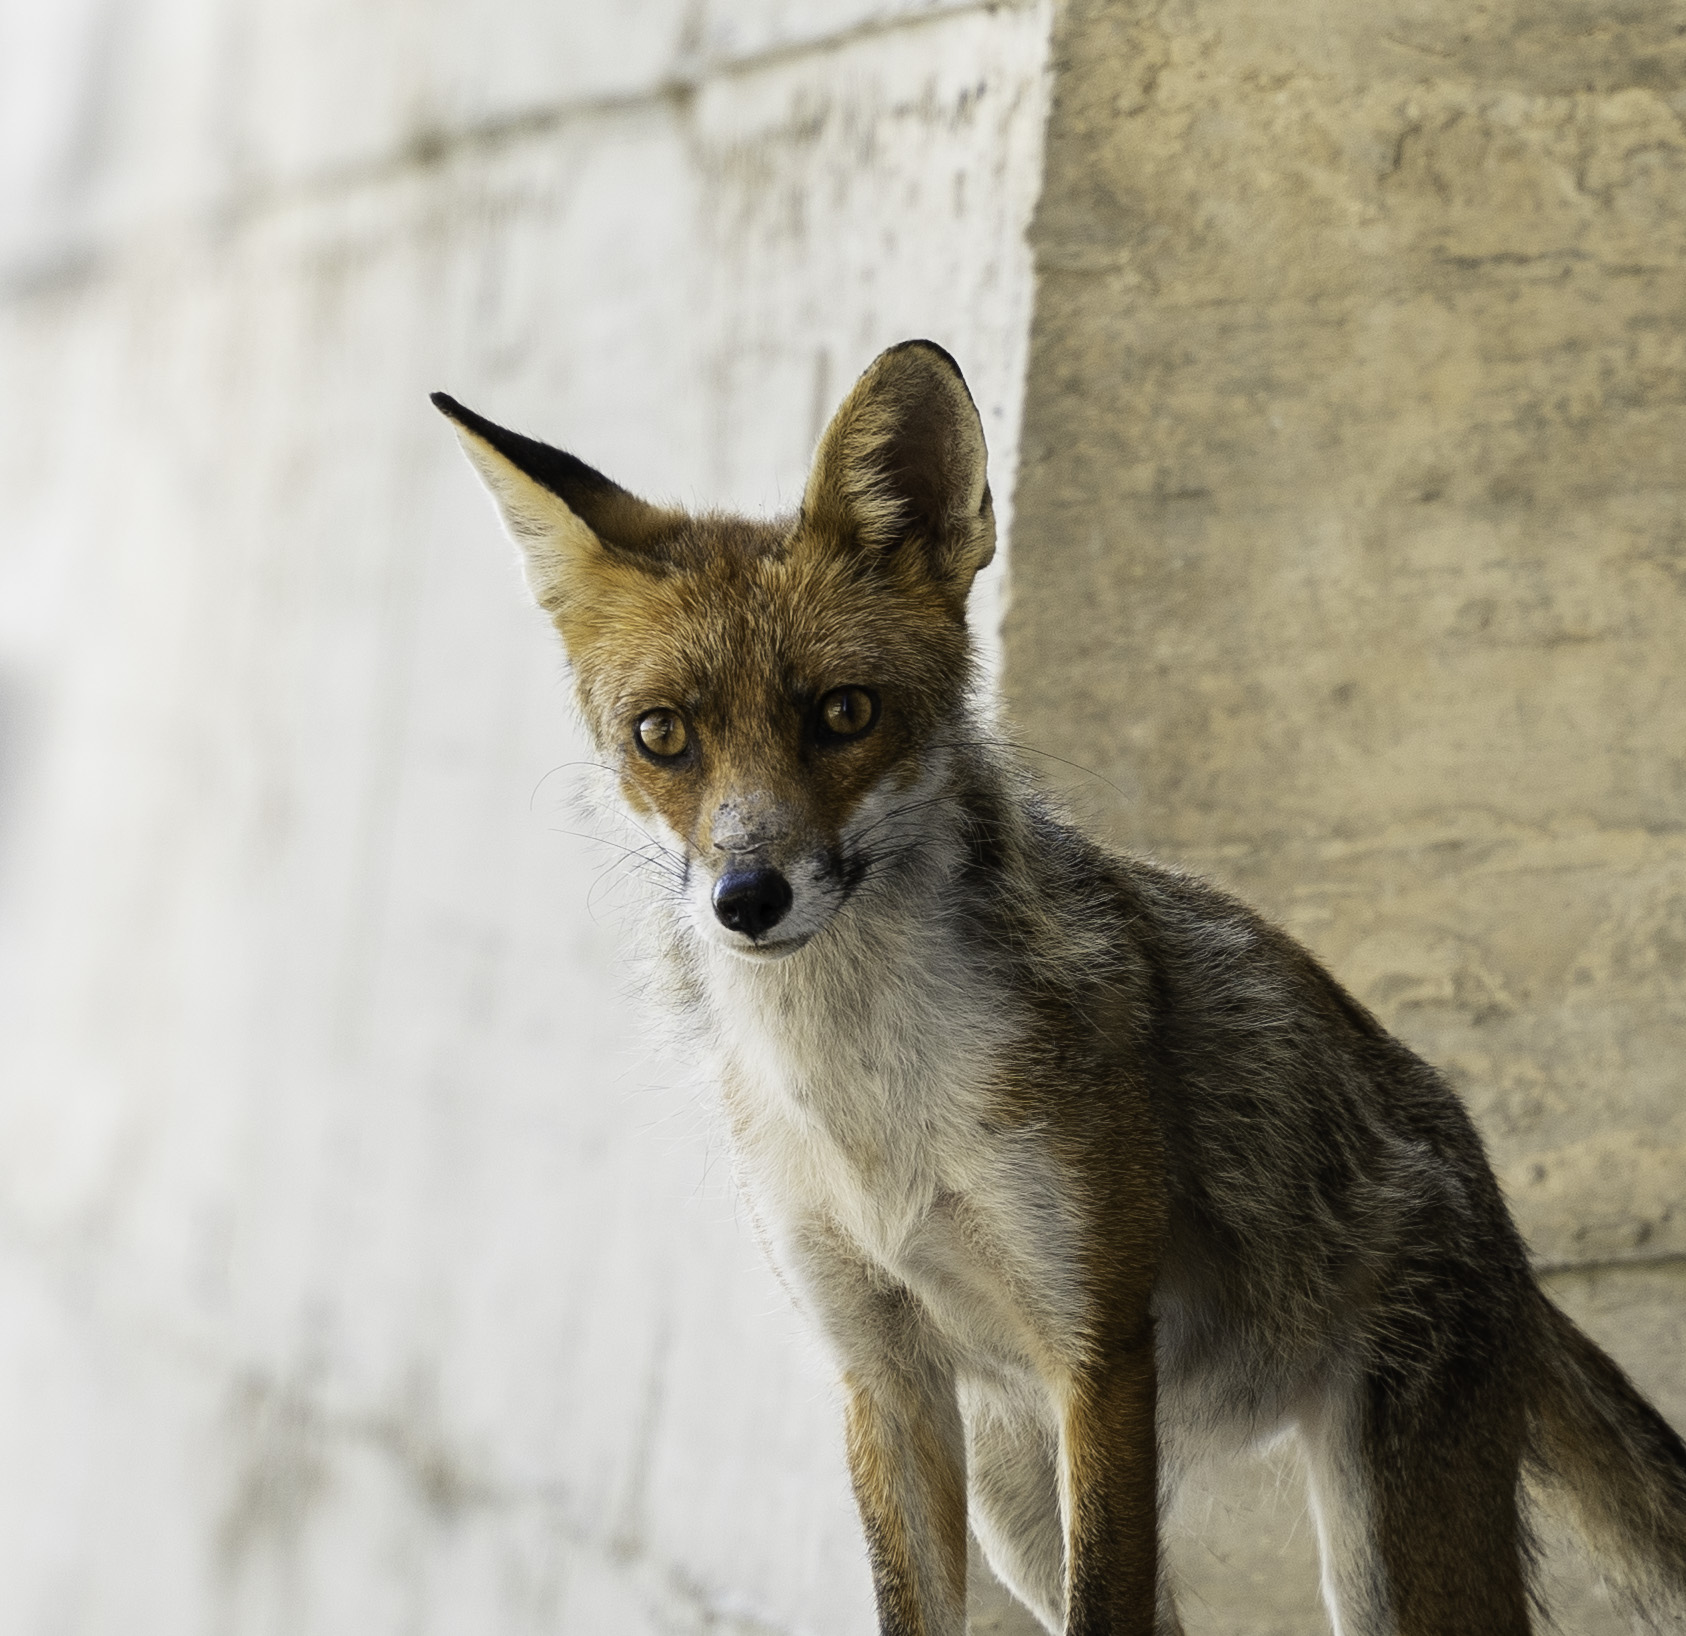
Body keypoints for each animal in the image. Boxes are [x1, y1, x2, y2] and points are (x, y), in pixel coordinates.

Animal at [433, 340, 1686, 1636]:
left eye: (844, 712)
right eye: (662, 735)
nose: (748, 896)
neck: (869, 1107)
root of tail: (1512, 1234)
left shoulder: (1100, 1349)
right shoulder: (881, 1369)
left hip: (1389, 1550)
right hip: (1019, 1502)